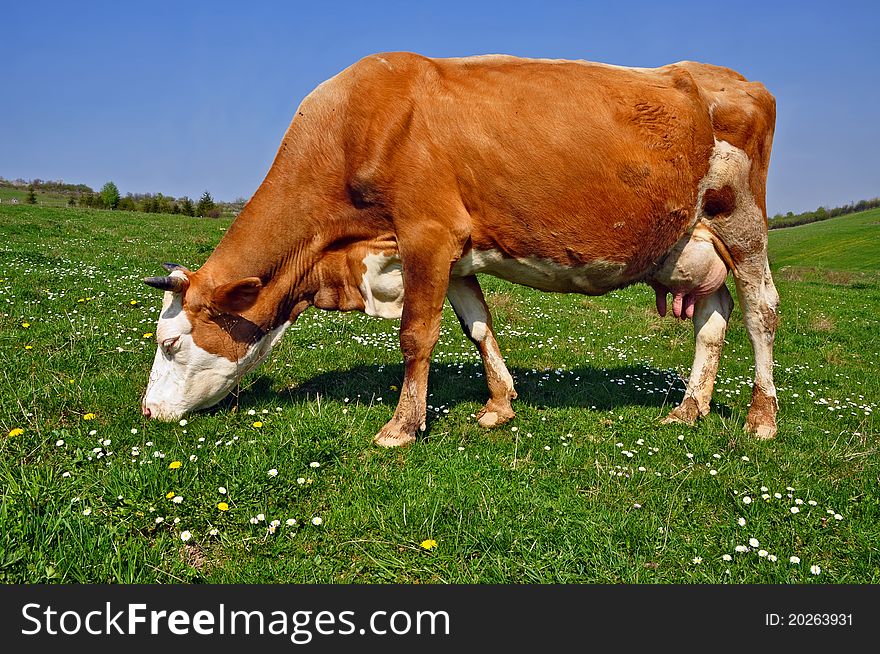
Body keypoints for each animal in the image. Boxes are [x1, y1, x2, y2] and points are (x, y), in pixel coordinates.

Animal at [141, 53, 780, 448]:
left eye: (171, 343)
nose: (147, 412)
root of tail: (740, 80)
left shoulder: (427, 232)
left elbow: (416, 335)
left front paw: (401, 426)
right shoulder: (455, 252)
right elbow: (477, 325)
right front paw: (500, 405)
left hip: (742, 223)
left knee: (760, 310)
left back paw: (762, 417)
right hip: (692, 242)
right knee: (712, 316)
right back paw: (690, 407)